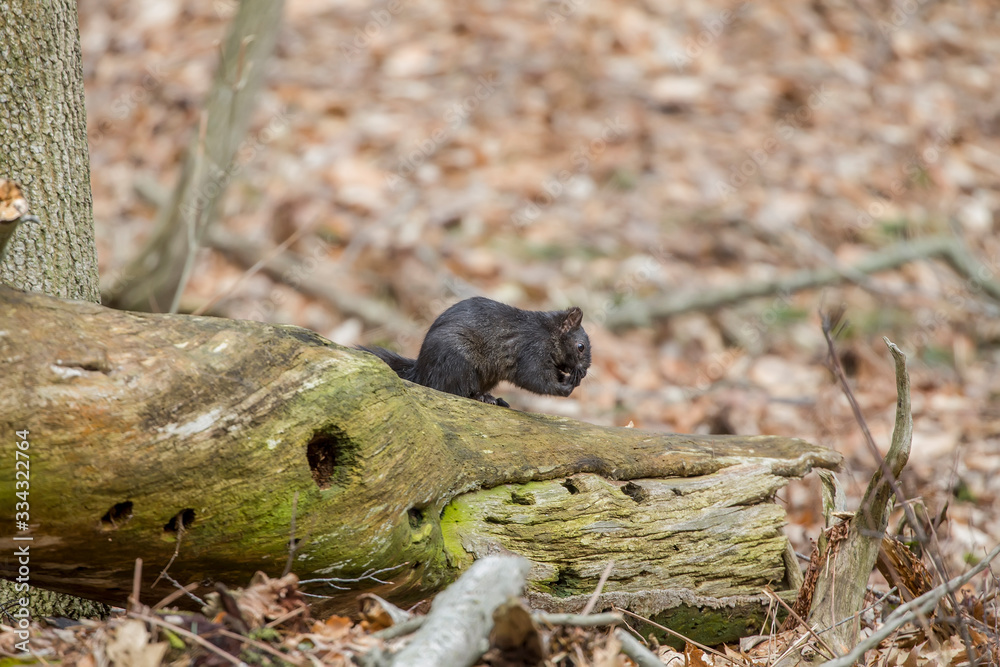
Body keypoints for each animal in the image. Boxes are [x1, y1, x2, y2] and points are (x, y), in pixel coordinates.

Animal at [360, 296, 591, 407]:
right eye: (581, 347)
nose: (585, 371)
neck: (548, 333)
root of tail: (420, 372)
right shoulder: (532, 350)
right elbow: (533, 378)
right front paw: (565, 387)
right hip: (458, 362)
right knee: (451, 390)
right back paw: (483, 397)